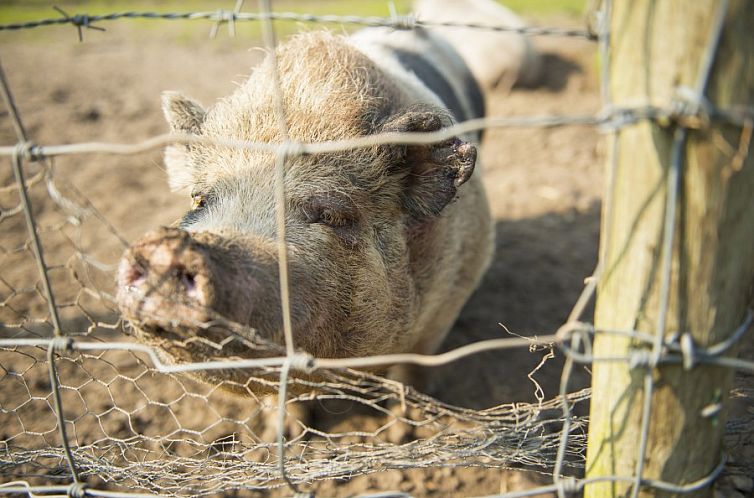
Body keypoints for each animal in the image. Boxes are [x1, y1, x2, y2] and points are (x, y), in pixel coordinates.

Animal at [116, 1, 536, 394]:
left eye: (330, 215)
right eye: (199, 199)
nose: (165, 248)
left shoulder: (451, 298)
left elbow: (413, 376)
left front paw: (403, 422)